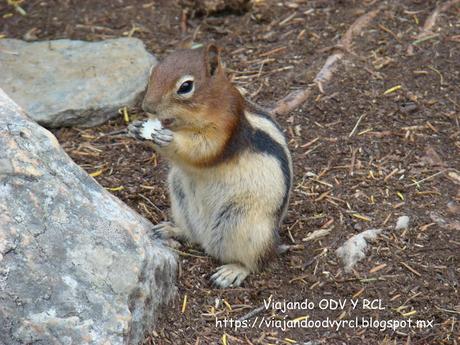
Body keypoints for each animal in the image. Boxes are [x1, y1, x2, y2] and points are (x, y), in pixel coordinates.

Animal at [127, 43, 292, 288]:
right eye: (152, 74)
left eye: (185, 86)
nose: (148, 107)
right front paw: (136, 128)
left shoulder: (225, 126)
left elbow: (203, 149)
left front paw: (168, 139)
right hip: (181, 198)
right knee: (192, 235)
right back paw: (171, 229)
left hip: (244, 222)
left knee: (255, 261)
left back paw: (232, 271)